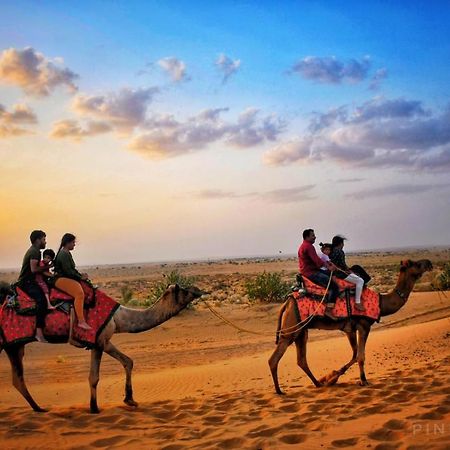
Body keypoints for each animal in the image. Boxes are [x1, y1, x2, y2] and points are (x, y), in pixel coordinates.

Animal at [0, 284, 204, 414]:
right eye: (185, 290)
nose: (199, 290)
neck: (120, 317)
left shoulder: (104, 341)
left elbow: (128, 361)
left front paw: (130, 400)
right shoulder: (99, 341)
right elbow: (94, 377)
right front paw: (94, 408)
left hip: (14, 346)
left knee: (17, 379)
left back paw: (38, 408)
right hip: (9, 343)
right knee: (19, 379)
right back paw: (39, 408)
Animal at [268, 260, 434, 394]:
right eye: (416, 264)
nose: (429, 263)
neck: (381, 303)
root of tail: (287, 302)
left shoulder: (350, 329)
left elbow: (354, 355)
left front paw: (332, 376)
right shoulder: (364, 325)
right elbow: (360, 356)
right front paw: (363, 380)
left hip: (301, 331)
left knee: (301, 360)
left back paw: (318, 383)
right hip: (291, 329)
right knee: (274, 359)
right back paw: (279, 391)